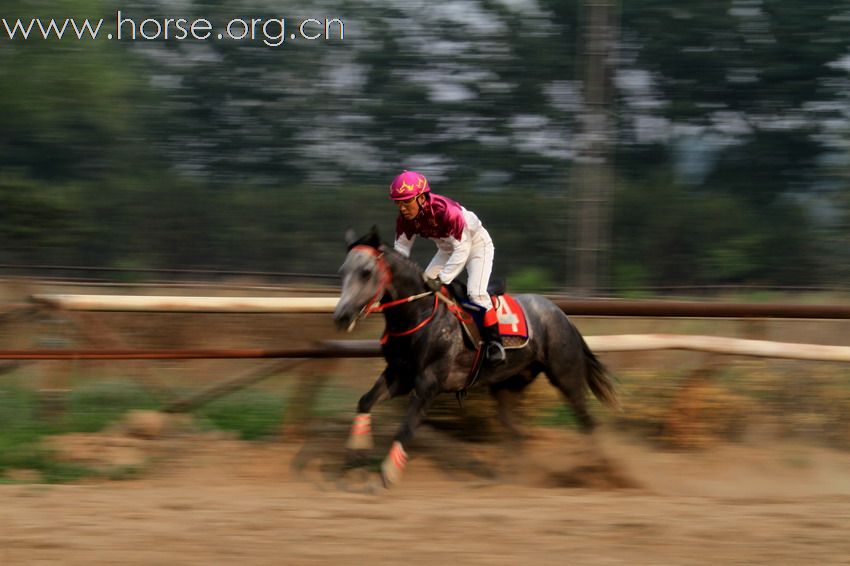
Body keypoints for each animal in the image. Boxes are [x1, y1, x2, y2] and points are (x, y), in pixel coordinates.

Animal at [332, 229, 616, 486]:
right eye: (343, 271)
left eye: (366, 272)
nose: (341, 316)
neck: (419, 313)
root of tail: (562, 314)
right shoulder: (400, 375)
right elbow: (365, 401)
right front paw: (354, 454)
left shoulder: (429, 383)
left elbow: (407, 426)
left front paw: (388, 473)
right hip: (507, 385)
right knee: (516, 431)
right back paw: (511, 474)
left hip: (565, 375)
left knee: (587, 420)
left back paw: (601, 469)